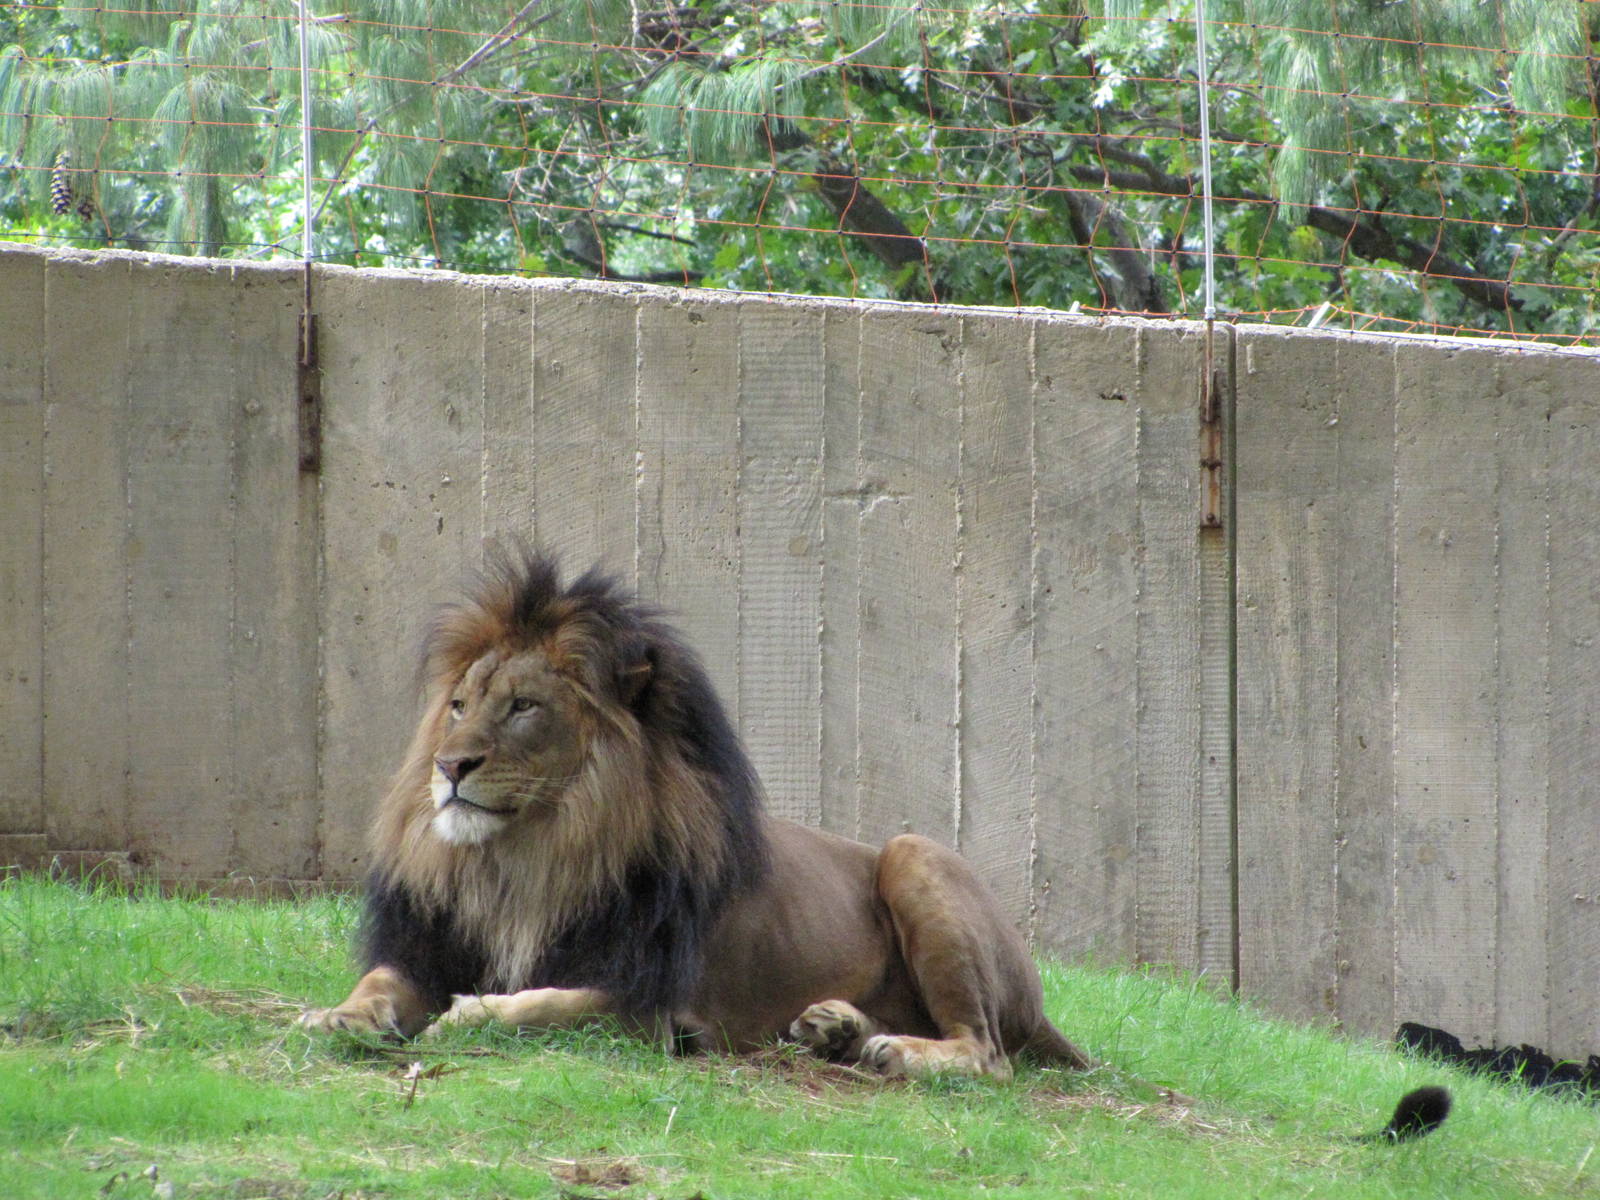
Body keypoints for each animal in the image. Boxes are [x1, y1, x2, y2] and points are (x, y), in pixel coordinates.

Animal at [299, 546, 1092, 1080]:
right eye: (460, 705)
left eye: (524, 706)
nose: (448, 767)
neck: (528, 863)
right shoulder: (431, 948)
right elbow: (382, 982)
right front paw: (337, 1014)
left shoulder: (658, 1011)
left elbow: (548, 1003)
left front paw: (471, 1014)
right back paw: (834, 1027)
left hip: (915, 854)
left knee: (988, 1054)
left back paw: (893, 1049)